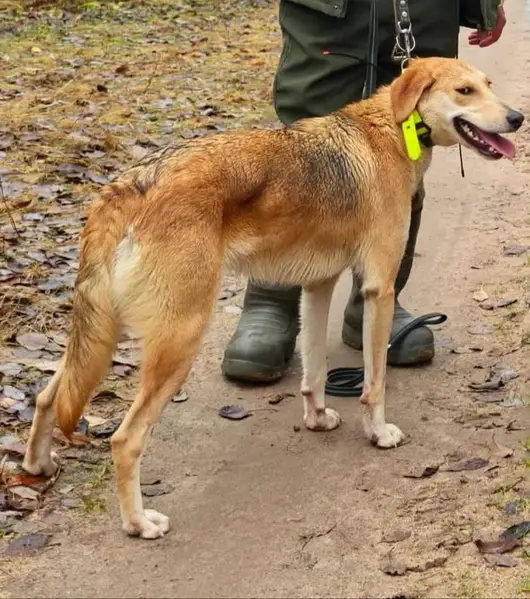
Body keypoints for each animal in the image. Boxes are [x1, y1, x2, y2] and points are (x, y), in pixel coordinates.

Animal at [22, 57, 523, 539]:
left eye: (489, 85)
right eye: (465, 91)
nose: (517, 118)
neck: (393, 128)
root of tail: (131, 183)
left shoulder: (319, 285)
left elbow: (315, 371)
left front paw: (317, 417)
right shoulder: (378, 288)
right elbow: (374, 383)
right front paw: (378, 432)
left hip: (101, 335)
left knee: (48, 397)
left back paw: (37, 465)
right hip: (178, 339)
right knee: (125, 441)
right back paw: (139, 523)